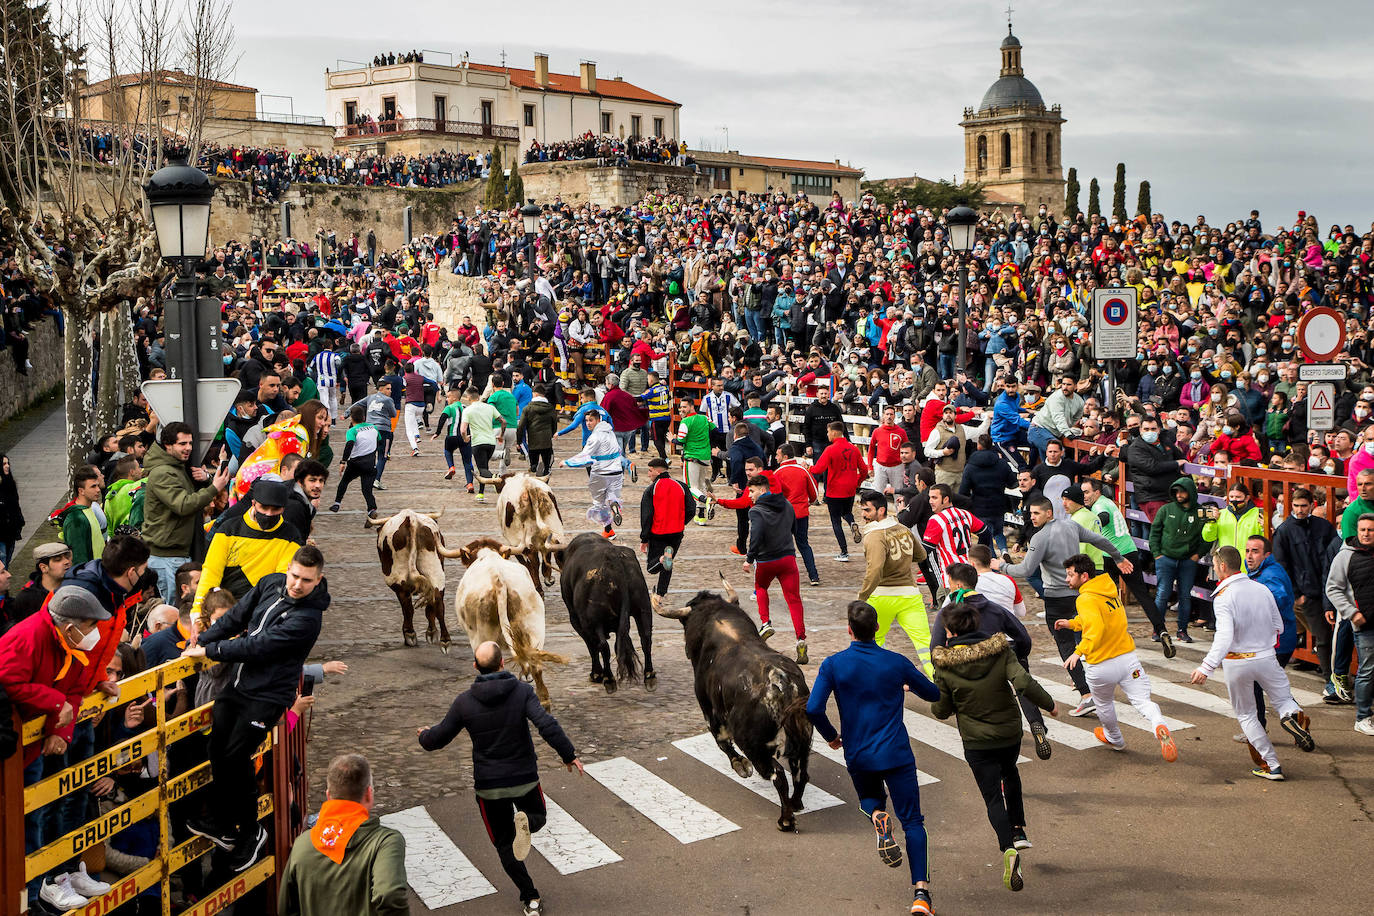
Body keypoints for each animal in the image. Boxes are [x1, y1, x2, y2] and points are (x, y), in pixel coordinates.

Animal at [365, 508, 461, 650]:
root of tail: (410, 518)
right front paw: (431, 632)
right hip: (435, 570)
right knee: (437, 602)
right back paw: (444, 639)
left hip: (396, 579)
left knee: (407, 606)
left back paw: (410, 634)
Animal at [563, 530, 659, 694]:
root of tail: (614, 558)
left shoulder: (578, 621)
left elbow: (592, 646)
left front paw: (596, 674)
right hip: (643, 608)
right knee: (646, 638)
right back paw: (649, 675)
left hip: (594, 620)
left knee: (603, 646)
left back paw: (608, 679)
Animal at [656, 576, 813, 834]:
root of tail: (781, 681)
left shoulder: (709, 709)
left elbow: (721, 740)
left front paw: (740, 765)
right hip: (803, 738)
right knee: (801, 773)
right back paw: (796, 804)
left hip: (755, 746)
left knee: (779, 775)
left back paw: (785, 820)